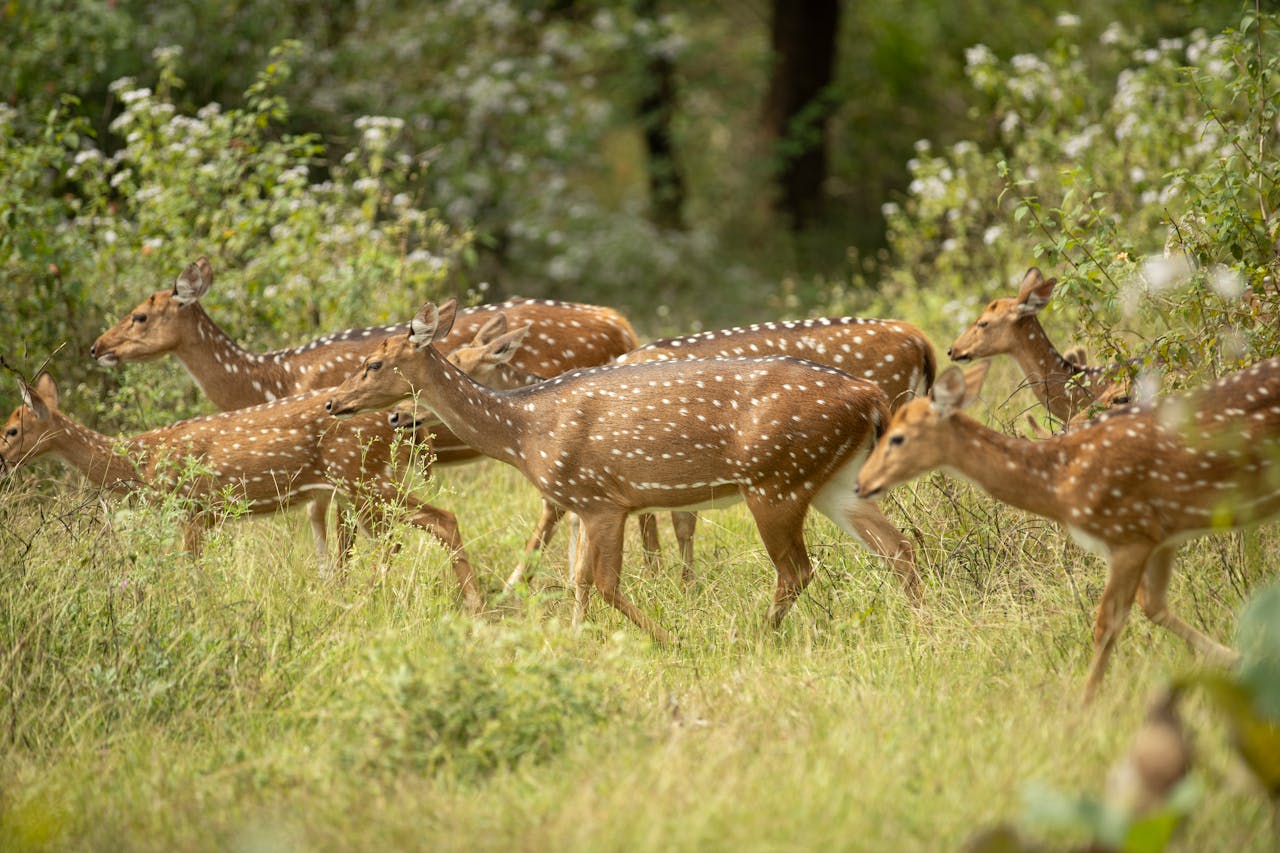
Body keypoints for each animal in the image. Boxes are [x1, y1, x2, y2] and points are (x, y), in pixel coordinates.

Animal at [0, 373, 485, 612]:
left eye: (11, 430)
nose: (2, 461)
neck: (141, 461)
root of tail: (392, 421)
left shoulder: (194, 508)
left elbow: (191, 572)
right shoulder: (206, 516)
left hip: (361, 475)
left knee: (431, 523)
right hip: (360, 485)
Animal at [324, 300, 923, 643]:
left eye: (373, 363)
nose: (333, 403)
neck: (526, 434)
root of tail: (870, 399)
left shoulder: (602, 499)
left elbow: (607, 583)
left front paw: (670, 640)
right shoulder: (588, 505)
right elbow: (581, 580)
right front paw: (575, 639)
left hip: (776, 478)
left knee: (797, 570)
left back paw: (756, 636)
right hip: (833, 480)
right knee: (897, 547)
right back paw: (925, 625)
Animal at [855, 358, 1280, 702]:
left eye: (898, 437)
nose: (861, 482)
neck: (1061, 481)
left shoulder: (1129, 533)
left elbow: (1106, 622)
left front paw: (1082, 707)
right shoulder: (1161, 533)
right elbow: (1155, 606)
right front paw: (1239, 660)